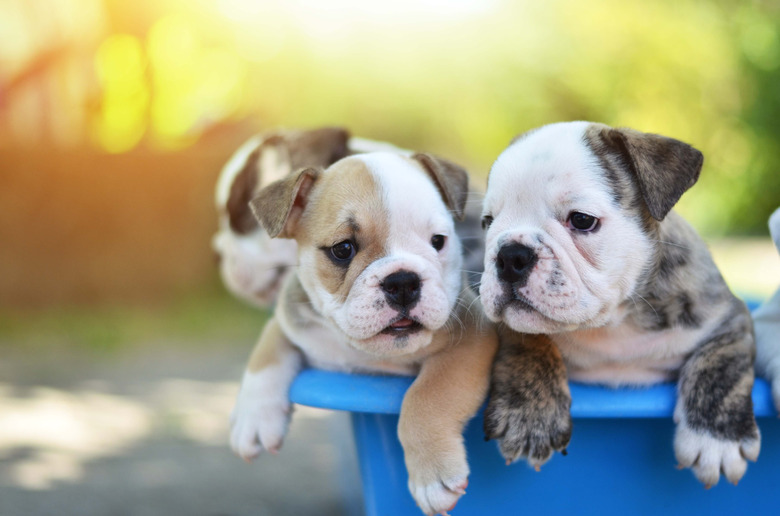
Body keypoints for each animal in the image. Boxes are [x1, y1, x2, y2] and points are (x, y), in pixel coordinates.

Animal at [232, 151, 496, 512]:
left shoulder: (468, 342)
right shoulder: (291, 317)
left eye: (439, 241)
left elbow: (426, 396)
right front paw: (254, 418)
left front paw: (432, 476)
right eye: (343, 249)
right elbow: (267, 351)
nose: (403, 281)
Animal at [478, 122, 760, 488]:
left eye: (582, 220)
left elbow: (721, 365)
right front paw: (530, 416)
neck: (613, 323)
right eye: (487, 222)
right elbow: (528, 340)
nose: (510, 255)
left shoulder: (727, 317)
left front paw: (716, 439)